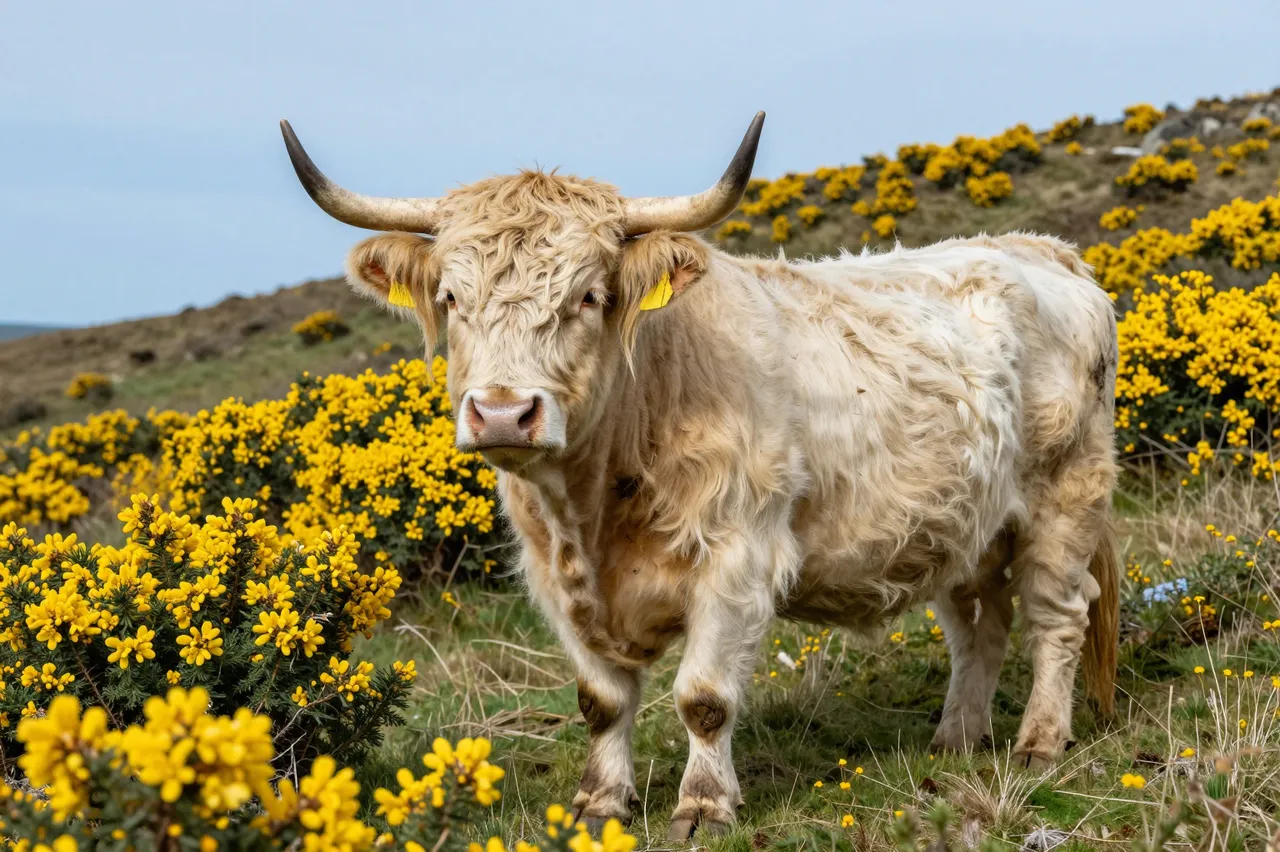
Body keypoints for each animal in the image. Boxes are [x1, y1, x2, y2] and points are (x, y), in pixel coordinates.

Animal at [280, 113, 1120, 841]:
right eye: (452, 299)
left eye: (589, 296)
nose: (504, 413)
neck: (594, 505)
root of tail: (1044, 250)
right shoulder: (554, 579)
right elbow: (600, 701)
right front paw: (599, 804)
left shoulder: (737, 562)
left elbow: (704, 699)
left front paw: (704, 807)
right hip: (962, 526)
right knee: (980, 625)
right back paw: (955, 738)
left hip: (1066, 495)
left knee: (1057, 614)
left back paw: (1039, 741)